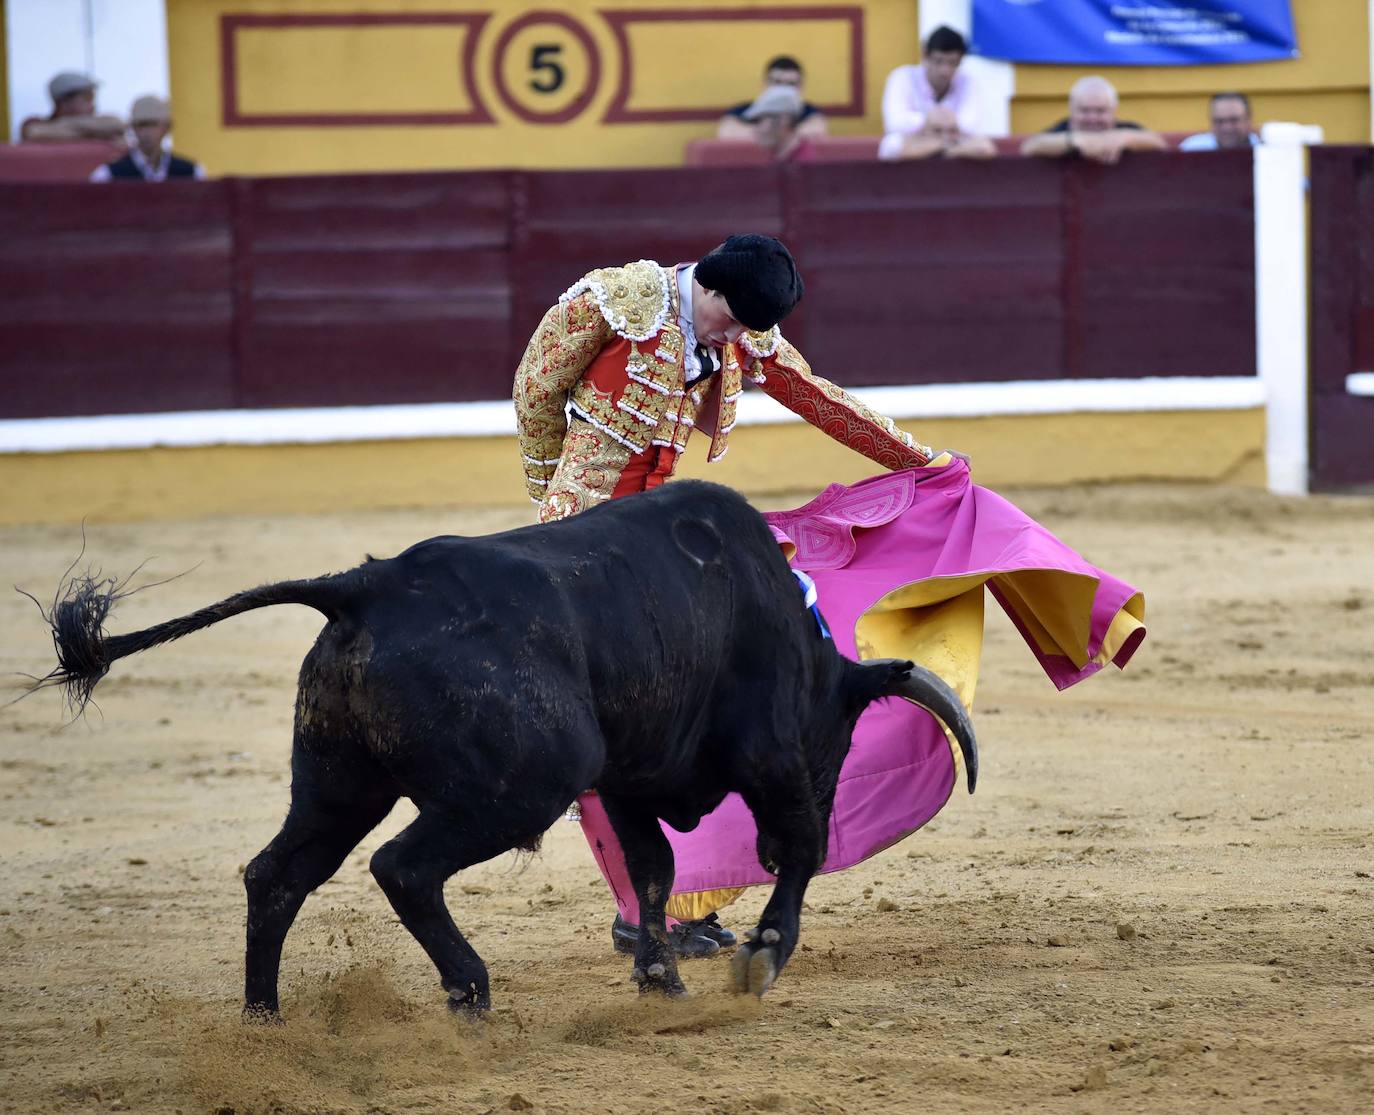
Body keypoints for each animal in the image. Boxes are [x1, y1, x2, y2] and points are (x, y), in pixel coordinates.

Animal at [37, 481, 972, 1022]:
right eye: (840, 741)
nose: (768, 847)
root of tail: (366, 584)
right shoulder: (769, 755)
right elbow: (799, 847)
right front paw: (763, 955)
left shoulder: (630, 779)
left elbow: (654, 868)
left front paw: (660, 978)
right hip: (521, 782)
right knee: (403, 867)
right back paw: (470, 990)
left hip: (338, 782)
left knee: (277, 873)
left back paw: (263, 1017)